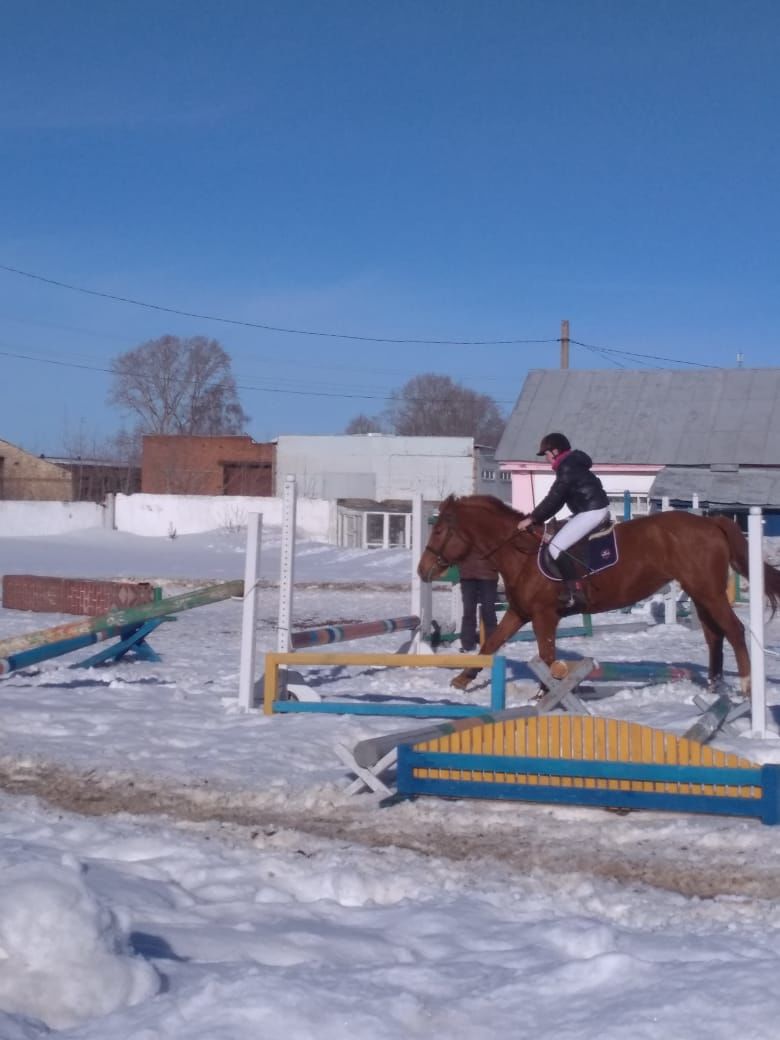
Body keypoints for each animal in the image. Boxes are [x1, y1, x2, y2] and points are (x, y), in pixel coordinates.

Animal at [418, 497, 780, 698]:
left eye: (439, 531)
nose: (422, 571)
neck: (519, 552)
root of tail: (712, 523)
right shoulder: (519, 612)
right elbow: (491, 644)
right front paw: (462, 679)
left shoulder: (544, 615)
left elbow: (547, 656)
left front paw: (547, 693)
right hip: (700, 593)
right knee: (714, 636)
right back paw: (714, 686)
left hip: (708, 592)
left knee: (733, 631)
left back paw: (746, 686)